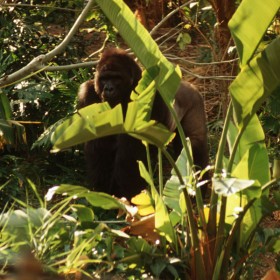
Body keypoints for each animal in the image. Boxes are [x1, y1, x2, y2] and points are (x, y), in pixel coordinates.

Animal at [77, 48, 209, 199]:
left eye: (116, 78)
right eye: (104, 78)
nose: (108, 89)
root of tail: (189, 84)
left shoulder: (153, 95)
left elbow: (130, 151)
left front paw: (129, 194)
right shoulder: (87, 93)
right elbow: (97, 144)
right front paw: (103, 190)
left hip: (195, 100)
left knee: (194, 142)